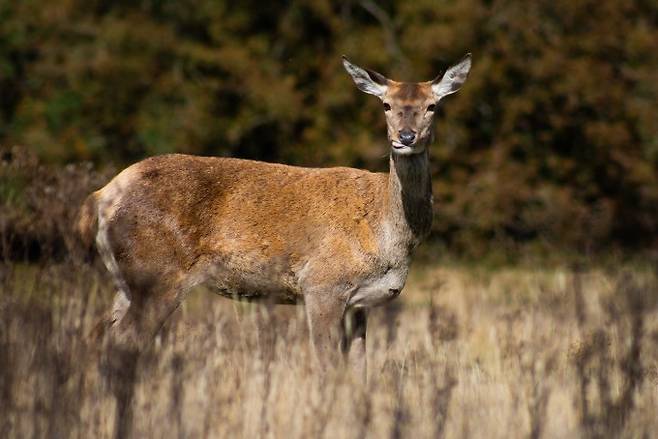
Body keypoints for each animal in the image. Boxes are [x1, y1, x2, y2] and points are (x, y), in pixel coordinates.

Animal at [77, 54, 468, 378]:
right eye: (386, 105)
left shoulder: (359, 304)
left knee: (100, 335)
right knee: (125, 341)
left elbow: (359, 370)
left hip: (126, 280)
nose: (406, 136)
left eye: (432, 106)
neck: (390, 237)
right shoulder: (322, 283)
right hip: (157, 274)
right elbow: (328, 366)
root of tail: (101, 196)